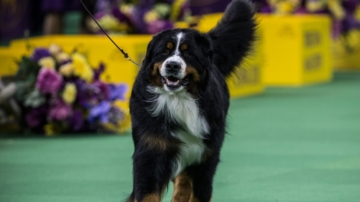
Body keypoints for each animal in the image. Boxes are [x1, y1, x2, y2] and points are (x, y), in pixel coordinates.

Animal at [126, 0, 256, 201]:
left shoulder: (205, 155)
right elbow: (147, 192)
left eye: (188, 54)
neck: (179, 99)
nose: (173, 65)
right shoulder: (151, 150)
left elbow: (199, 189)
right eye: (165, 51)